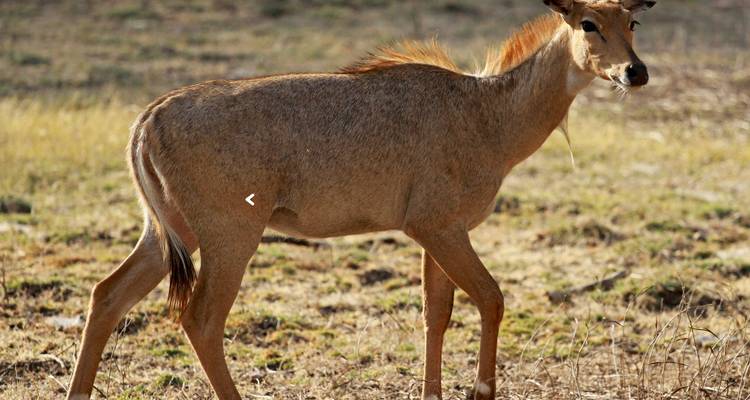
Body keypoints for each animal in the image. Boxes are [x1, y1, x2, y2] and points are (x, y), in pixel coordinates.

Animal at [66, 1, 655, 399]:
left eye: (631, 22)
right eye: (588, 22)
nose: (636, 71)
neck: (488, 114)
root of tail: (149, 118)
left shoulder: (435, 231)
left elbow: (436, 313)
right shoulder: (439, 226)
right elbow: (491, 299)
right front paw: (480, 391)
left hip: (169, 231)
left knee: (107, 293)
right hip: (231, 233)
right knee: (201, 318)